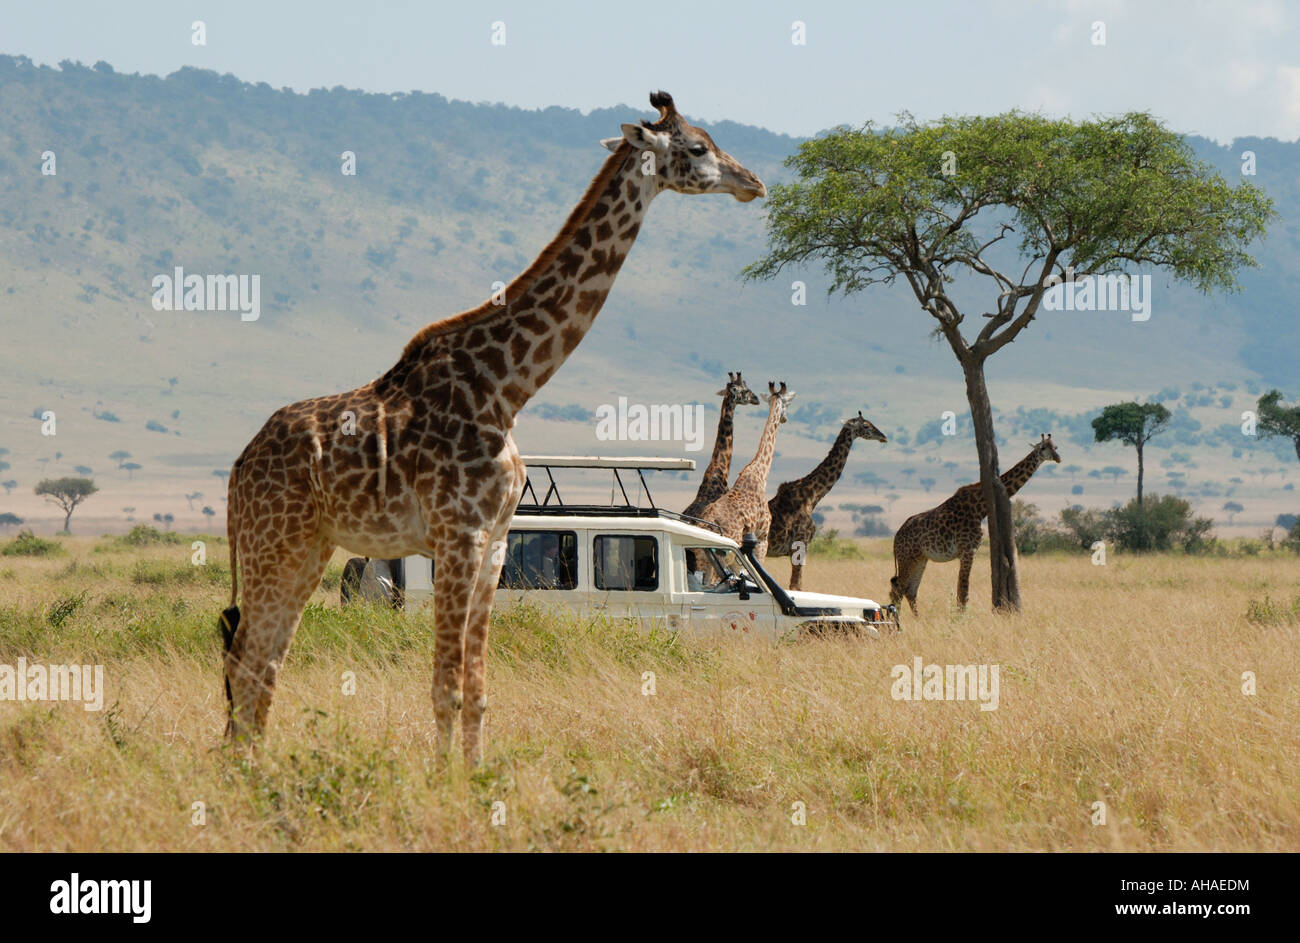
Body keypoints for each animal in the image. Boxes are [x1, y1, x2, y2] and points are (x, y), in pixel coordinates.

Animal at [889, 431, 1060, 613]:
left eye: (1055, 447)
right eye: (1043, 448)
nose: (1058, 458)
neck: (980, 508)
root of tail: (896, 537)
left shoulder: (968, 551)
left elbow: (962, 591)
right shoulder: (967, 550)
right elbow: (963, 591)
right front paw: (960, 618)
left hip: (920, 558)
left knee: (910, 590)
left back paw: (918, 618)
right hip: (907, 557)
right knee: (898, 589)